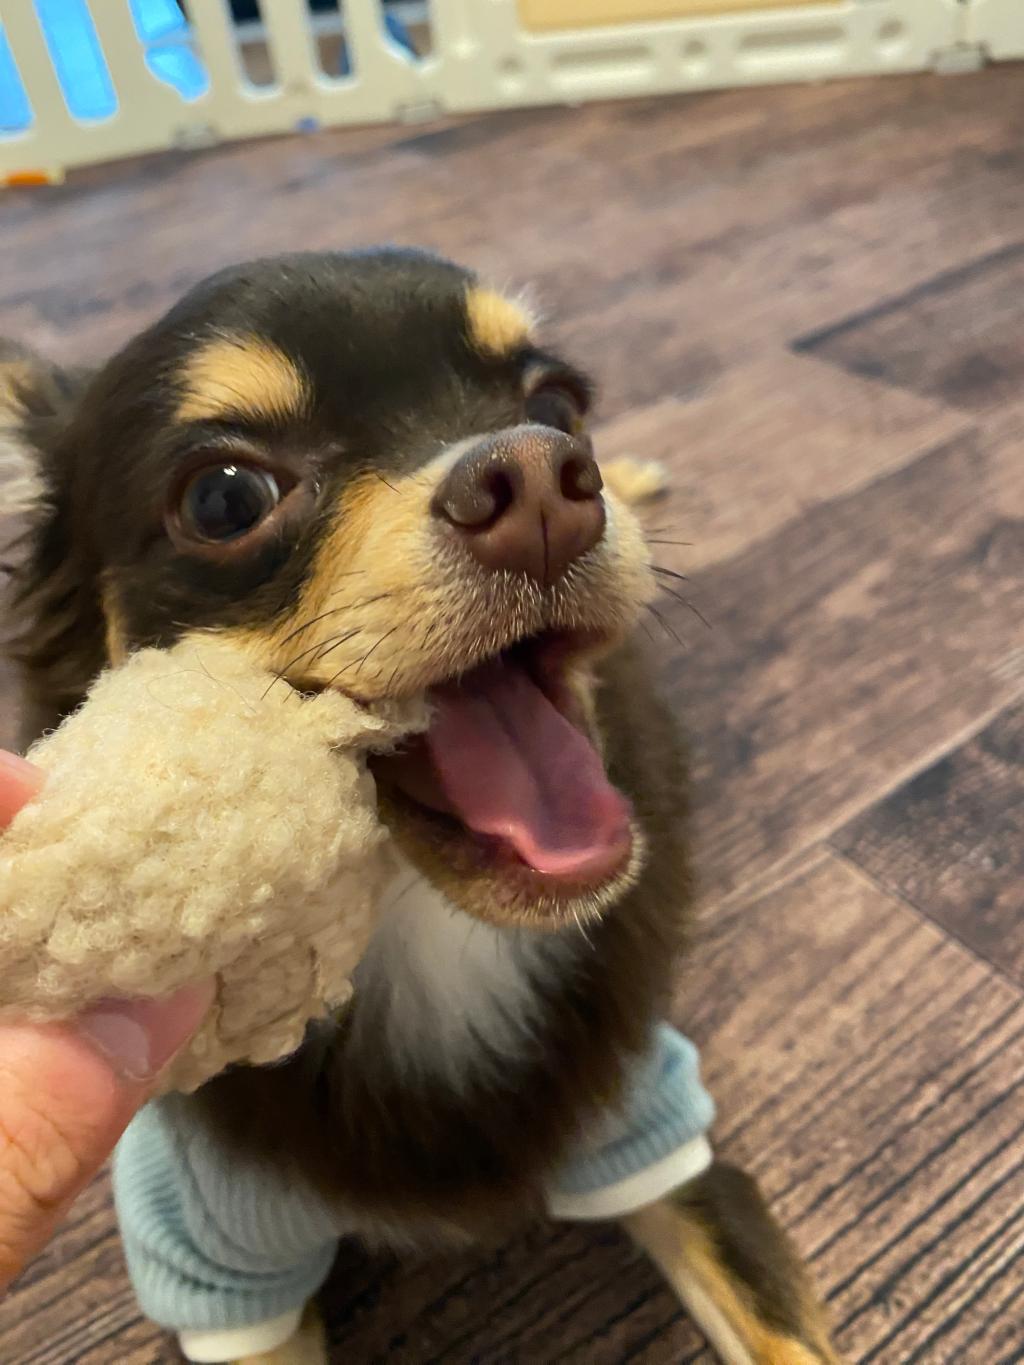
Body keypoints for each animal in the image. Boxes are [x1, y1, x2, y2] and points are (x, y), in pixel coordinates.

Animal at [2, 248, 841, 1365]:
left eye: (557, 405)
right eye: (224, 499)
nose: (541, 476)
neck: (420, 932)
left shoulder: (663, 1133)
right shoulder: (214, 1267)